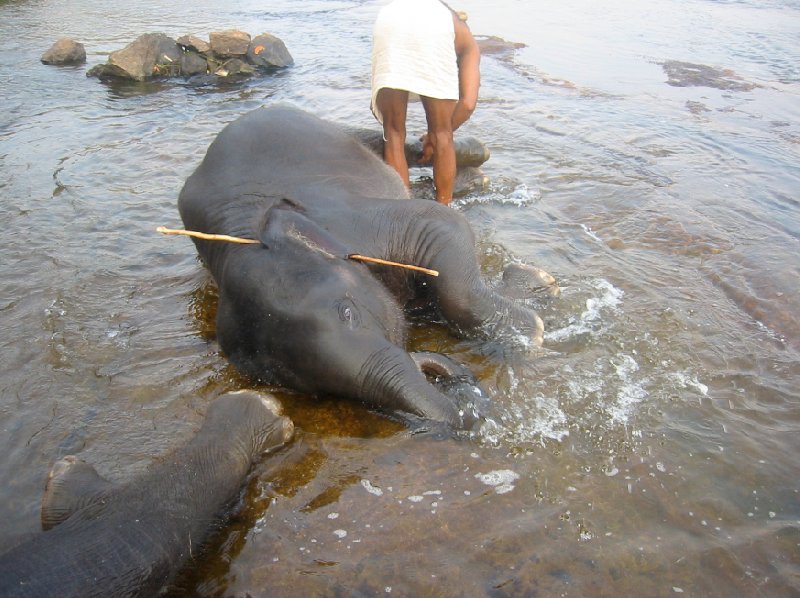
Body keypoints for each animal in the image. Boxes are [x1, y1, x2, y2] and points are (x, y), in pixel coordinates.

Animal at [177, 104, 556, 432]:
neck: (245, 234)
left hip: (331, 132)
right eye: (314, 386)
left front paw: (533, 333)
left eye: (348, 313)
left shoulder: (348, 218)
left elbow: (440, 224)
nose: (430, 368)